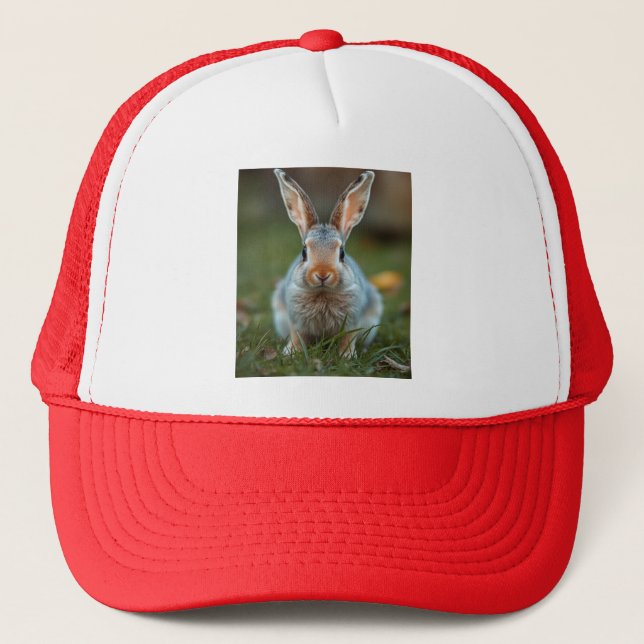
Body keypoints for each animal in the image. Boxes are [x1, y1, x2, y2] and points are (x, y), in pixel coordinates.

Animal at [271, 168, 383, 356]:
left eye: (342, 253)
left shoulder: (352, 321)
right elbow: (297, 336)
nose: (322, 274)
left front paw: (347, 356)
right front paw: (291, 352)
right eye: (304, 252)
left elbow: (347, 339)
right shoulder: (296, 321)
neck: (322, 292)